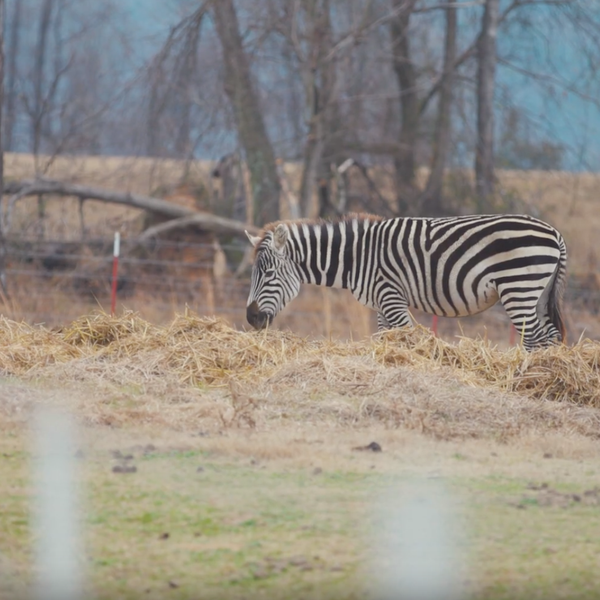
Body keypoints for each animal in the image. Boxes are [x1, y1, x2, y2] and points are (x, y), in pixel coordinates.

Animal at [245, 213, 568, 352]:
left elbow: (408, 336)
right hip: (538, 293)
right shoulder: (380, 304)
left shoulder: (391, 297)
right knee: (550, 335)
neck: (359, 257)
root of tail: (554, 232)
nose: (251, 318)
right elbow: (385, 338)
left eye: (269, 273)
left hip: (519, 288)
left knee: (534, 338)